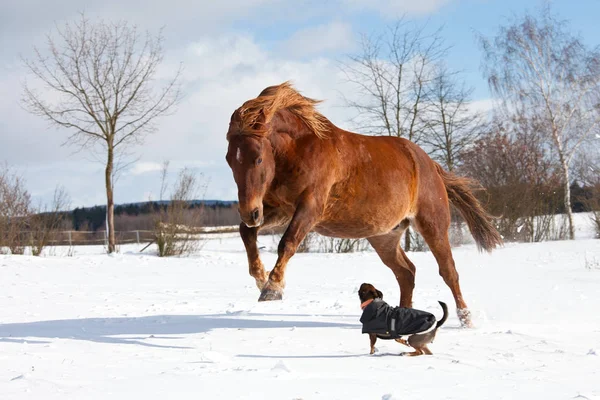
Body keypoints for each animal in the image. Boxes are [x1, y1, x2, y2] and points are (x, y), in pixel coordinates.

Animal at [225, 80, 502, 324]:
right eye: (229, 160)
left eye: (258, 158)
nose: (250, 212)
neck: (301, 149)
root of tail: (431, 165)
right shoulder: (280, 209)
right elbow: (246, 233)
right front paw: (260, 278)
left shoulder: (311, 207)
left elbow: (287, 242)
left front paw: (272, 288)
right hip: (384, 236)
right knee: (406, 273)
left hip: (432, 224)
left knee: (448, 272)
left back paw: (466, 320)